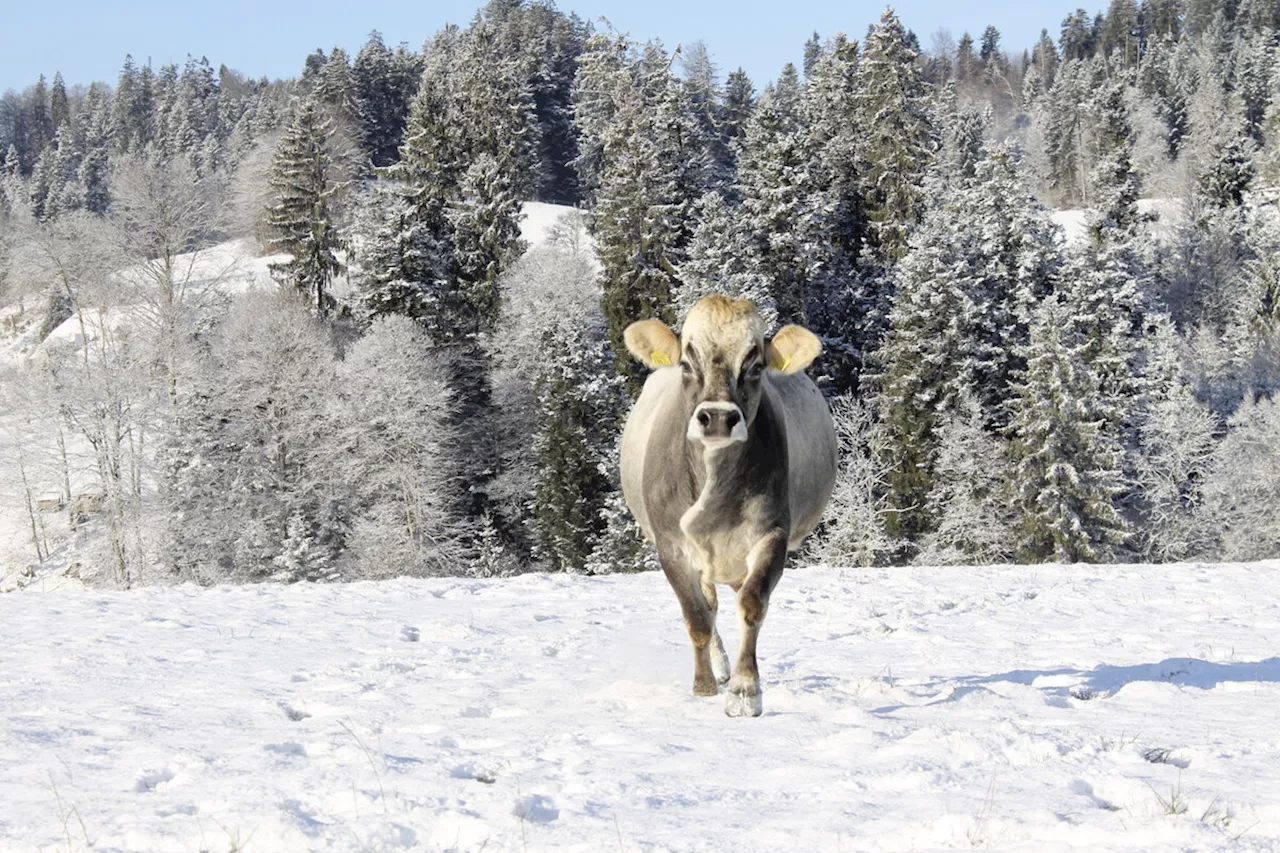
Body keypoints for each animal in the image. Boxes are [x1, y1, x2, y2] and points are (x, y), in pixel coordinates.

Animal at [619, 295, 839, 712]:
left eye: (755, 366)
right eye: (687, 364)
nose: (718, 418)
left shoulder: (772, 534)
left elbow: (752, 605)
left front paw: (745, 691)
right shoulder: (671, 545)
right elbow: (697, 618)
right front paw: (705, 684)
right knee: (710, 606)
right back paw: (719, 666)